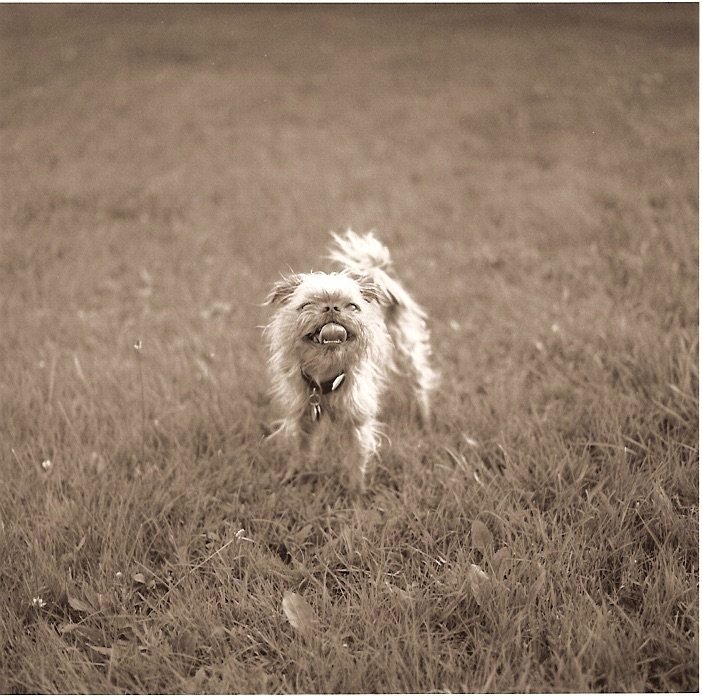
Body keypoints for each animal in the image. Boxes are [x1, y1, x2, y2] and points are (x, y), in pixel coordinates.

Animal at [266, 231, 440, 486]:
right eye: (306, 305)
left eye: (352, 306)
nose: (331, 307)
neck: (324, 374)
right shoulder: (302, 416)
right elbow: (300, 450)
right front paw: (293, 477)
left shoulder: (357, 420)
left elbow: (356, 458)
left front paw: (356, 490)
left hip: (406, 349)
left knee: (419, 383)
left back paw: (424, 419)